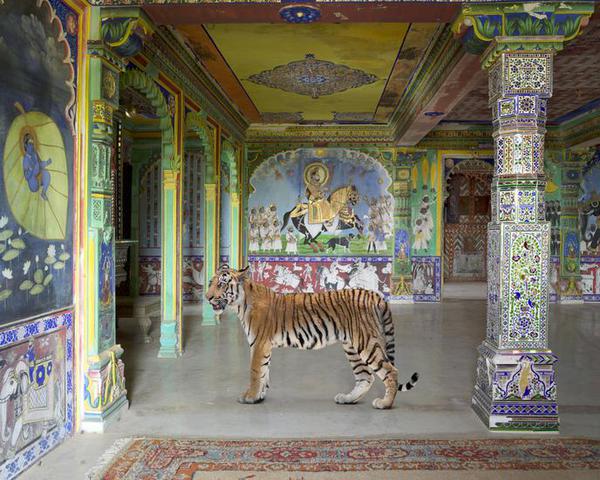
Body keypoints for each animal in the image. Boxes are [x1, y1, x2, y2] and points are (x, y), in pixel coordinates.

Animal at [205, 264, 418, 410]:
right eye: (210, 283)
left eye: (221, 284)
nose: (207, 297)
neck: (241, 302)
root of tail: (375, 295)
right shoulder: (264, 346)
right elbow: (265, 372)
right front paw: (259, 396)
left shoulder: (259, 344)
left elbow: (255, 371)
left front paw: (249, 396)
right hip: (352, 347)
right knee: (365, 377)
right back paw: (347, 399)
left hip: (367, 343)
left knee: (391, 371)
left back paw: (385, 403)